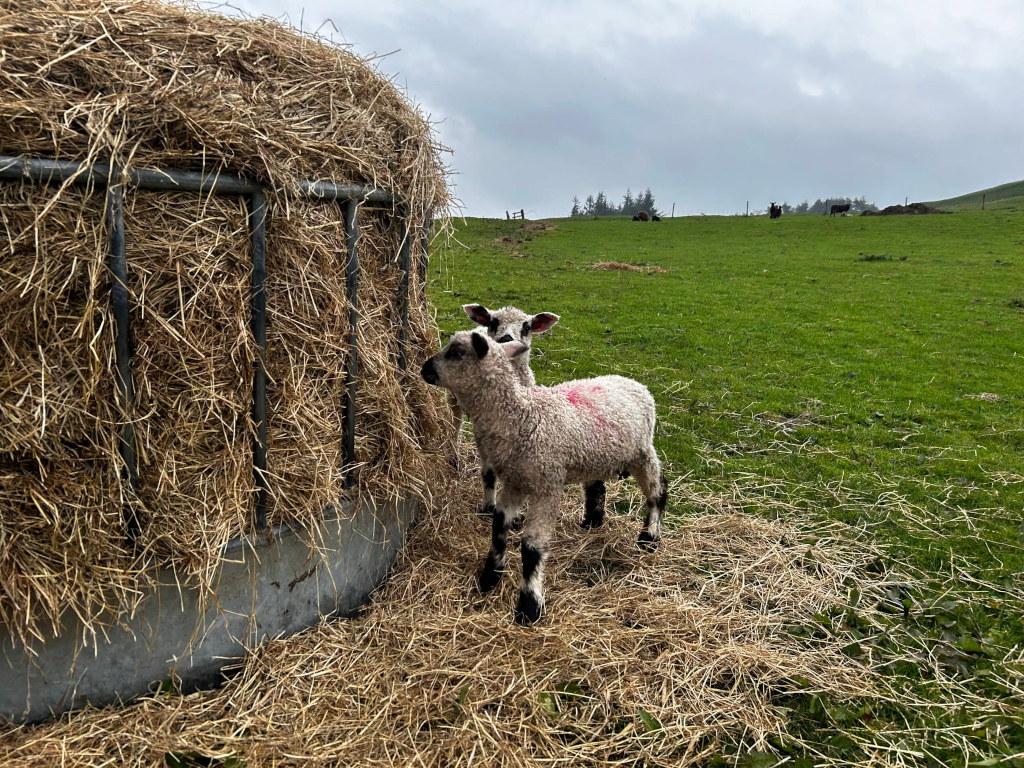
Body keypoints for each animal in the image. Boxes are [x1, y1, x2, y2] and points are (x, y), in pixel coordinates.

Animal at [421, 330, 668, 625]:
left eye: (456, 352)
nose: (424, 369)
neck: (521, 417)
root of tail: (634, 383)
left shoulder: (546, 486)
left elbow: (532, 548)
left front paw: (529, 605)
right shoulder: (514, 481)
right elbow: (498, 531)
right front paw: (490, 577)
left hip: (642, 452)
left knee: (657, 491)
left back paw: (649, 537)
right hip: (597, 455)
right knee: (598, 487)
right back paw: (592, 521)